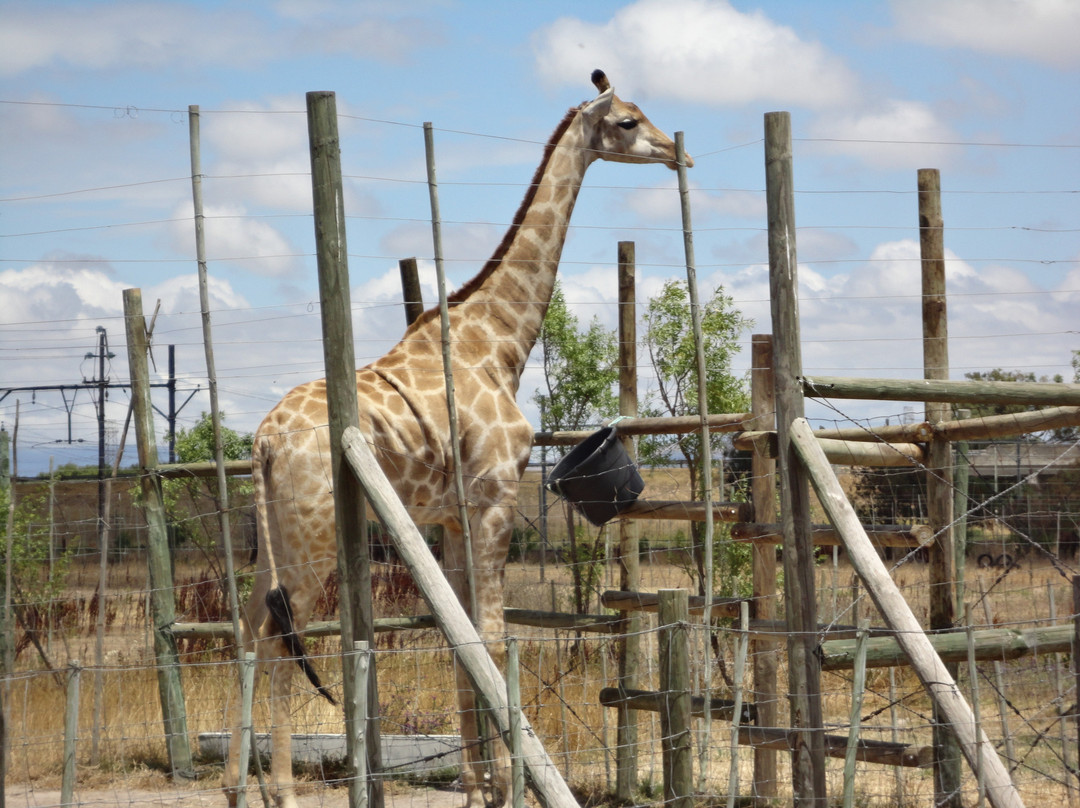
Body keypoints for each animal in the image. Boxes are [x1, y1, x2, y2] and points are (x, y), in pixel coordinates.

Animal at [223, 70, 691, 808]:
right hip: (313, 532)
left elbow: (463, 643)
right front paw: (509, 787)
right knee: (278, 631)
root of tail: (263, 440)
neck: (498, 341)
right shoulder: (494, 500)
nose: (678, 153)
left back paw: (234, 783)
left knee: (246, 624)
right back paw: (282, 791)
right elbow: (494, 641)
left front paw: (478, 788)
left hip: (274, 529)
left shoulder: (450, 517)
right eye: (626, 120)